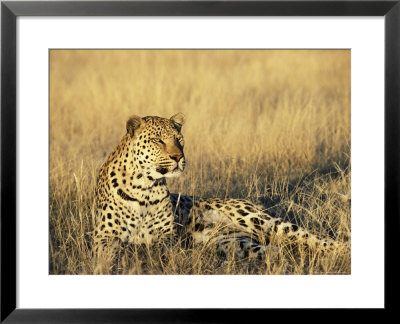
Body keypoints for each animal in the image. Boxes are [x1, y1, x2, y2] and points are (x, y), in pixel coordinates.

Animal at [91, 112, 344, 270]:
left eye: (179, 139)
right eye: (157, 140)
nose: (178, 157)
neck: (145, 187)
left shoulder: (166, 237)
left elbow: (158, 250)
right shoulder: (104, 237)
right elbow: (114, 253)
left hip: (261, 220)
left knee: (310, 237)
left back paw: (342, 249)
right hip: (234, 242)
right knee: (275, 249)